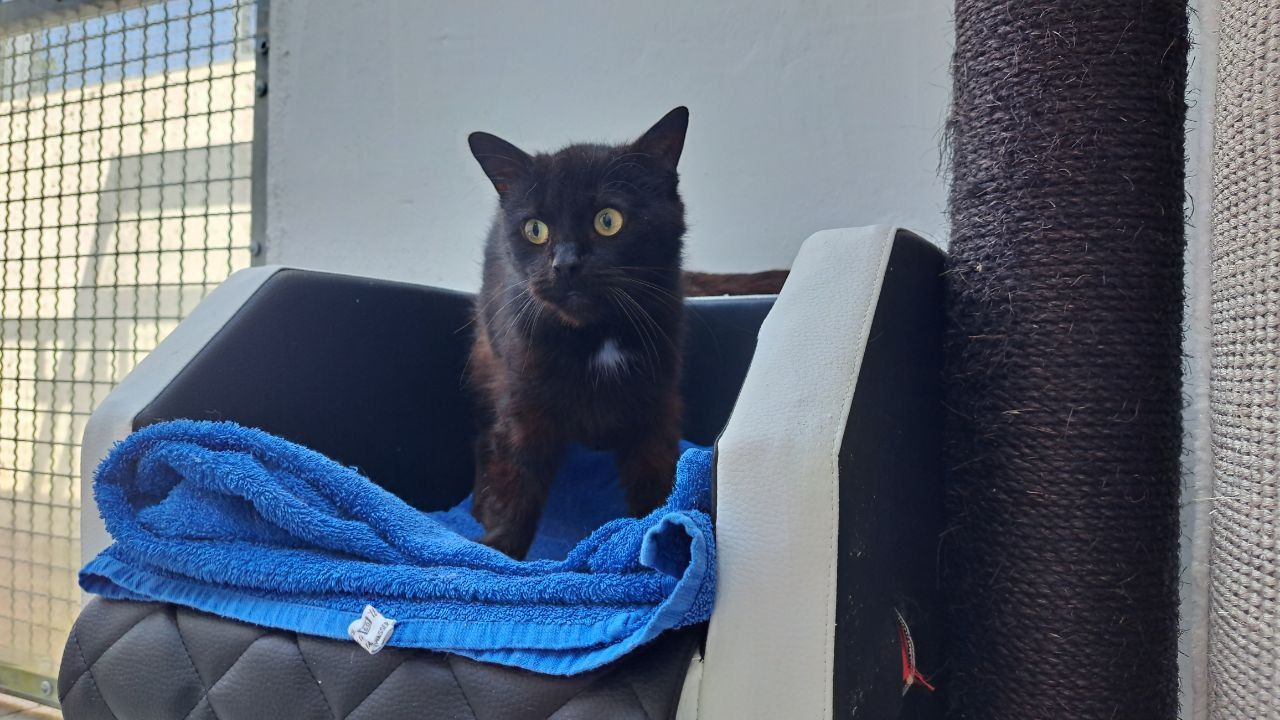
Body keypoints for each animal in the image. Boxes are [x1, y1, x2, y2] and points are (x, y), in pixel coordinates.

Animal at [466, 108, 692, 558]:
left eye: (608, 221)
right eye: (535, 229)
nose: (565, 264)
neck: (596, 336)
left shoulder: (657, 398)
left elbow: (654, 467)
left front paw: (653, 535)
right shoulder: (522, 399)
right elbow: (516, 471)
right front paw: (499, 549)